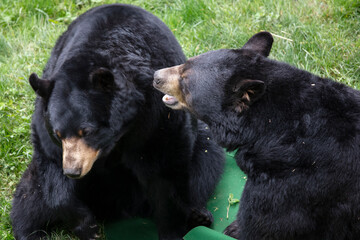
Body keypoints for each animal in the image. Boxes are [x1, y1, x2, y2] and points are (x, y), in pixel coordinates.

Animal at [11, 4, 225, 240]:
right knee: (29, 198)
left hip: (201, 145)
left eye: (87, 131)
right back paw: (31, 232)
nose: (74, 171)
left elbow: (164, 168)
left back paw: (198, 215)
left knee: (205, 164)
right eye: (58, 134)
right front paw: (87, 226)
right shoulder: (46, 124)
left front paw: (172, 229)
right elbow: (52, 170)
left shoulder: (154, 117)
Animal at [153, 31, 360, 240]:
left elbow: (267, 223)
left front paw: (232, 228)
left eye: (185, 80)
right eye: (185, 63)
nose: (156, 76)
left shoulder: (293, 183)